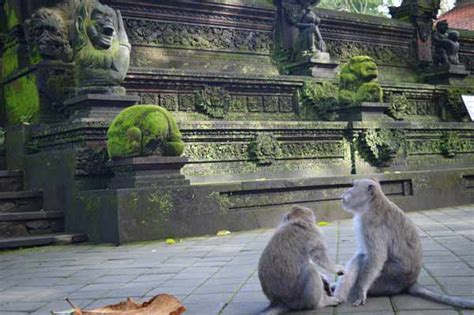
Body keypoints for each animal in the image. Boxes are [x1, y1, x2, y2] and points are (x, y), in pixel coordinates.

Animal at [334, 179, 474, 310]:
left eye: (354, 186)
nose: (345, 192)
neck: (372, 204)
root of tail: (411, 282)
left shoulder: (371, 225)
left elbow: (376, 258)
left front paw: (361, 291)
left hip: (390, 279)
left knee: (363, 260)